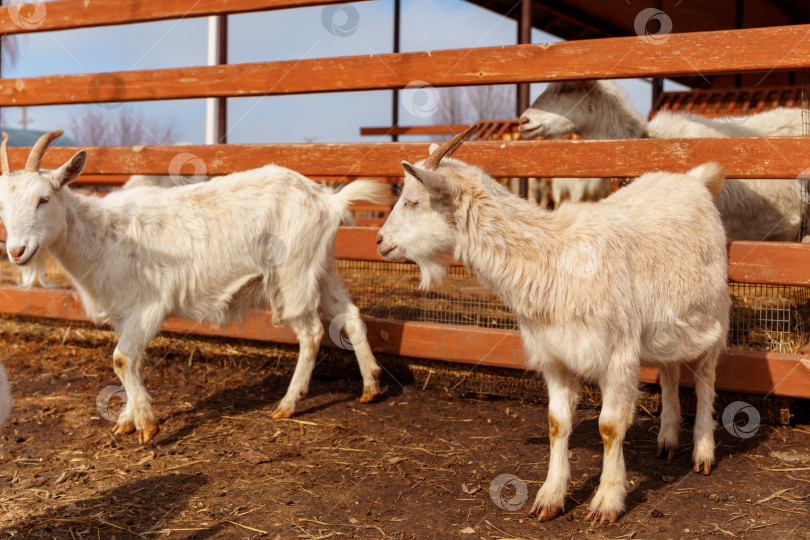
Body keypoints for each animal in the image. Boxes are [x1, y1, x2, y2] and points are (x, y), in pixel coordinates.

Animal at [0, 131, 388, 442]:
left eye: (43, 199)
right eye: (3, 207)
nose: (16, 251)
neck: (101, 234)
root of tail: (328, 200)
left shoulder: (148, 306)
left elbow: (122, 360)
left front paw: (147, 425)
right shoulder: (124, 313)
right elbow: (132, 361)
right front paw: (127, 419)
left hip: (293, 271)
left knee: (310, 332)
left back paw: (288, 404)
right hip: (321, 267)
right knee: (349, 314)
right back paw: (371, 385)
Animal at [376, 126, 728, 524]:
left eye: (413, 201)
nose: (380, 241)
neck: (554, 256)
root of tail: (692, 180)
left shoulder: (618, 354)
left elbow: (610, 427)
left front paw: (606, 502)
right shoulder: (554, 354)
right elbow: (556, 422)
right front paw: (550, 497)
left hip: (715, 314)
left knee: (705, 377)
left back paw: (703, 451)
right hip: (669, 327)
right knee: (670, 371)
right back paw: (667, 439)